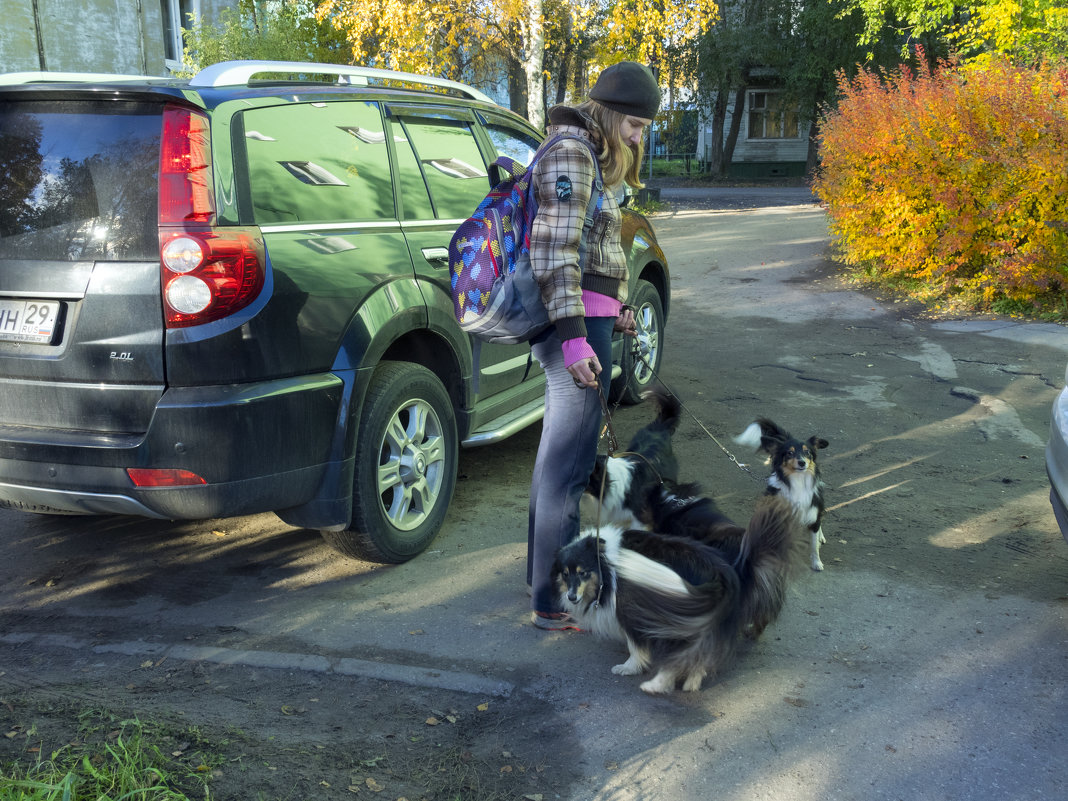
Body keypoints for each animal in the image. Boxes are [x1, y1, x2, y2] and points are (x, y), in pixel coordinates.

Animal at [739, 420, 828, 572]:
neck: (798, 481)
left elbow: (814, 544)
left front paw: (817, 563)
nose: (802, 462)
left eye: (807, 451)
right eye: (789, 453)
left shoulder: (813, 508)